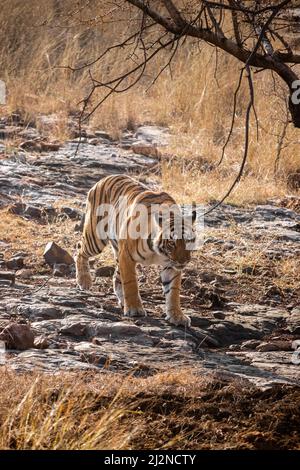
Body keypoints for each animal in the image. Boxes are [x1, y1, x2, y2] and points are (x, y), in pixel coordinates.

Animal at [75, 173, 197, 326]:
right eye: (172, 243)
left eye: (189, 241)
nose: (183, 261)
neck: (158, 251)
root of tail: (103, 179)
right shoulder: (127, 255)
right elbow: (131, 283)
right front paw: (134, 309)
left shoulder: (171, 265)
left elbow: (173, 291)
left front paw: (177, 316)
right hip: (96, 237)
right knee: (79, 249)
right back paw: (84, 281)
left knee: (116, 276)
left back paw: (122, 299)